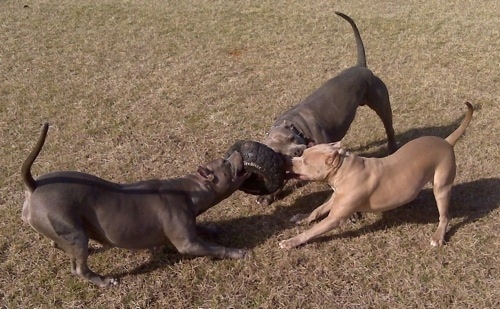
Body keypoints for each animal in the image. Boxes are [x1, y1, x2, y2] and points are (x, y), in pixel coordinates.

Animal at [22, 122, 252, 286]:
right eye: (225, 162)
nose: (238, 150)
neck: (190, 189)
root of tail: (34, 185)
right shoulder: (188, 243)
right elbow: (215, 248)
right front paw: (238, 252)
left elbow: (202, 226)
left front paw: (212, 228)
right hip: (72, 230)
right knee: (80, 268)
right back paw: (104, 281)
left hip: (65, 228)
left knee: (63, 248)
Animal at [260, 12, 396, 206]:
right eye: (278, 152)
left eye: (291, 138)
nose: (297, 151)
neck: (298, 127)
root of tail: (360, 67)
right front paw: (268, 196)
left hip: (381, 104)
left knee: (389, 126)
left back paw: (392, 147)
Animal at [282, 102, 472, 249]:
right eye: (302, 154)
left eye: (306, 161)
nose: (287, 161)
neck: (344, 169)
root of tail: (446, 142)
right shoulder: (335, 198)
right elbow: (317, 210)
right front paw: (302, 217)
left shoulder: (335, 218)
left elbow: (311, 232)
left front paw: (291, 241)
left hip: (441, 188)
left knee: (444, 216)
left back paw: (438, 237)